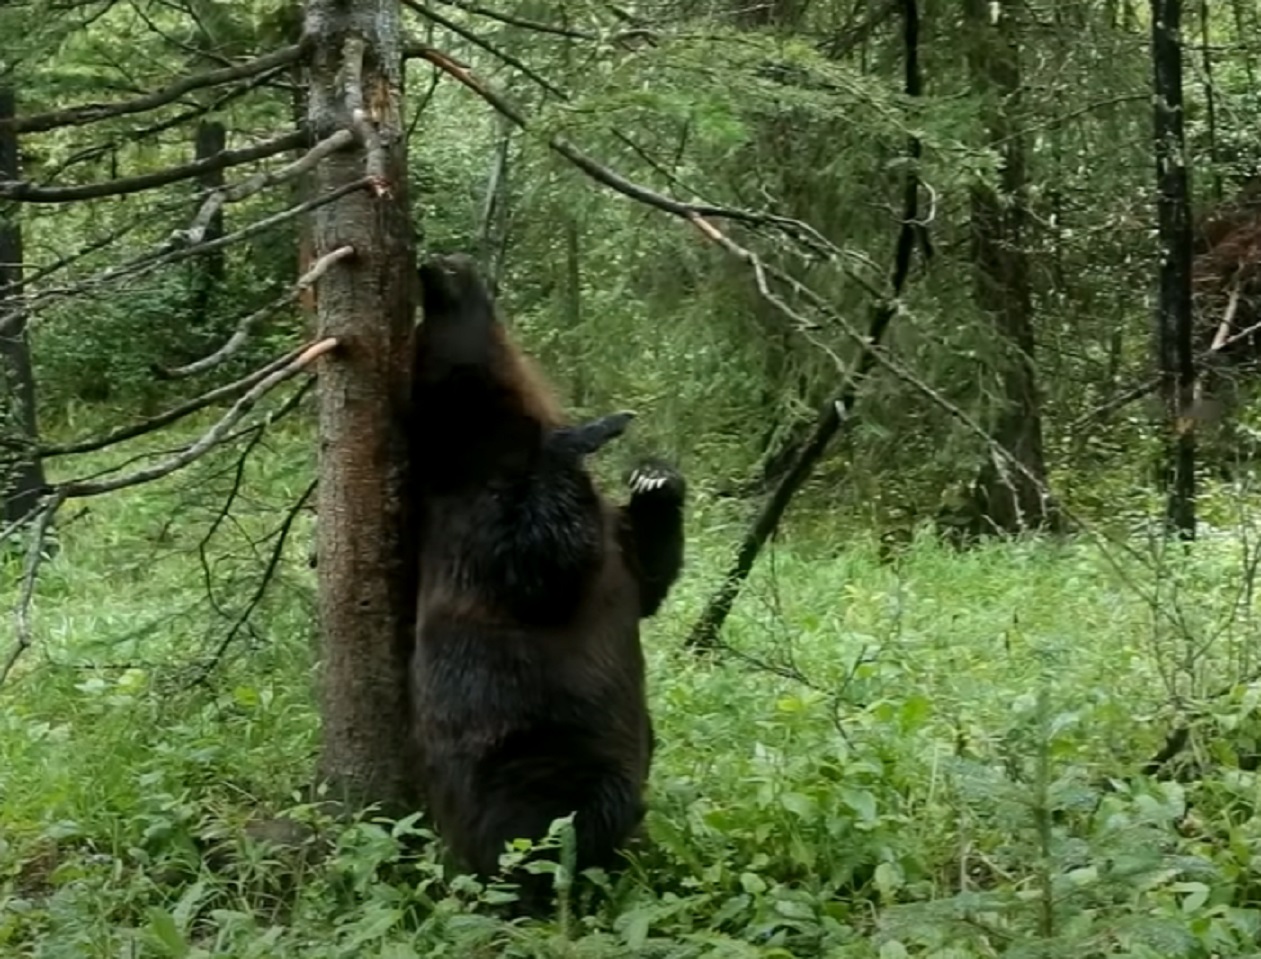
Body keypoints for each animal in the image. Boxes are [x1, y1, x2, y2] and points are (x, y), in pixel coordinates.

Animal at [407, 253, 685, 907]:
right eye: (426, 326)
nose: (436, 265)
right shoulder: (472, 516)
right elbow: (540, 557)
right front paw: (595, 430)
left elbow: (646, 576)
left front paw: (655, 477)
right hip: (536, 753)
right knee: (555, 826)